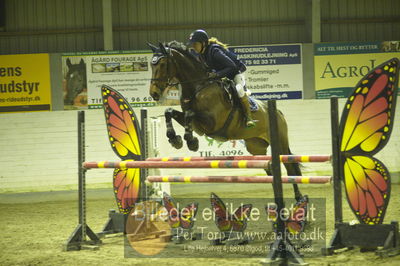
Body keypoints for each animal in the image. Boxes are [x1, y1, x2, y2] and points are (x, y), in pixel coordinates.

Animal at [148, 41, 304, 202]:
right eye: (151, 65)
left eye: (162, 64)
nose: (154, 93)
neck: (198, 87)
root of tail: (278, 112)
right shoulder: (196, 123)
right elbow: (170, 112)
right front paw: (175, 139)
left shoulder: (212, 122)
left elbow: (190, 115)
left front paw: (191, 141)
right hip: (256, 147)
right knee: (269, 167)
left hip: (279, 143)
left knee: (289, 166)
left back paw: (299, 197)